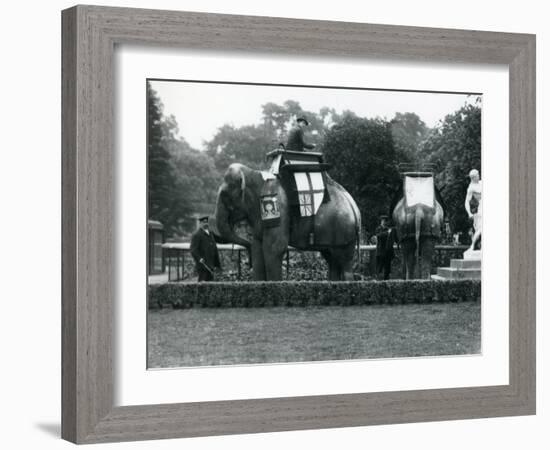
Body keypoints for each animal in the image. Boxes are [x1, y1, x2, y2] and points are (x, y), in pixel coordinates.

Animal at [215, 162, 362, 282]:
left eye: (224, 195)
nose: (246, 257)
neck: (253, 173)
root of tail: (355, 209)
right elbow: (258, 246)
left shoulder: (278, 206)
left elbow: (274, 248)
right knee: (332, 260)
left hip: (344, 232)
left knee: (344, 262)